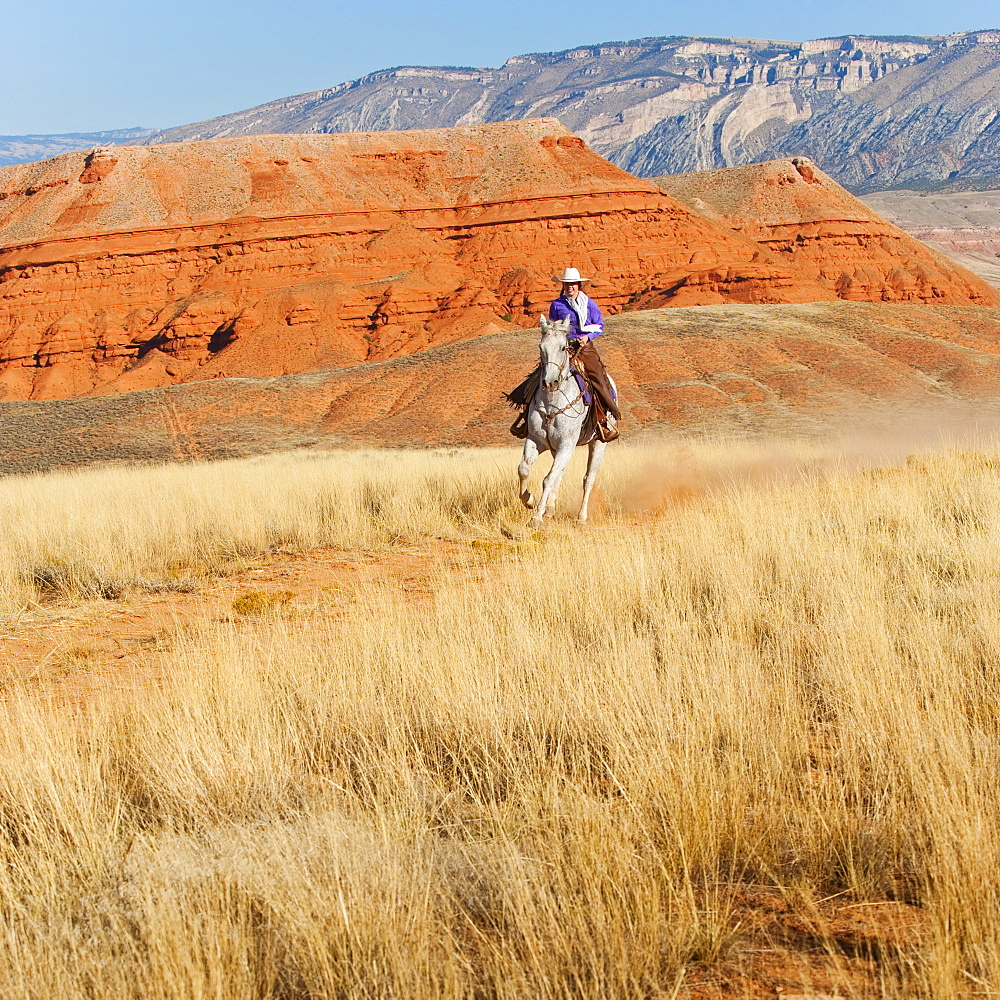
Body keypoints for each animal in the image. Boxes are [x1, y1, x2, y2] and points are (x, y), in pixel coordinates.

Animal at [520, 316, 612, 528]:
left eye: (563, 347)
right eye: (541, 347)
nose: (550, 382)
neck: (551, 403)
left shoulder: (566, 444)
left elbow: (548, 479)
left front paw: (536, 517)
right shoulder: (536, 440)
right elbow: (524, 469)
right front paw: (529, 500)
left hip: (598, 443)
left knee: (588, 479)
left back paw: (581, 517)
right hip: (556, 448)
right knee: (560, 473)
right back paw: (551, 508)